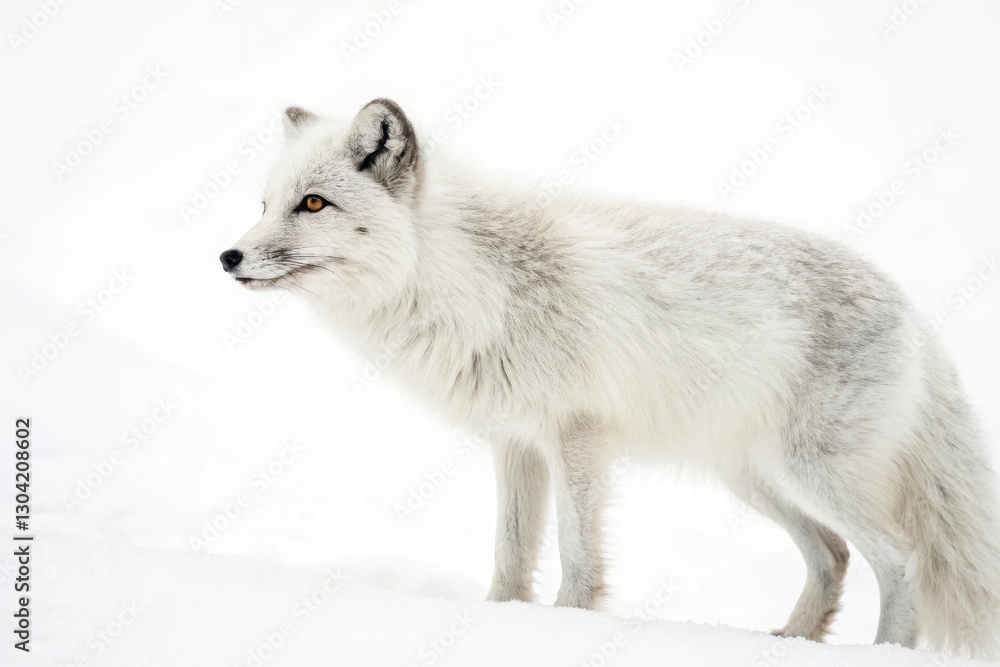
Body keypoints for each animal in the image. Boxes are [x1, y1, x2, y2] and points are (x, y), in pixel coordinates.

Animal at [220, 98, 1000, 658]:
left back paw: (882, 652)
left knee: (903, 561)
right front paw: (501, 625)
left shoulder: (578, 437)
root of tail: (914, 309)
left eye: (313, 204)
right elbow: (510, 554)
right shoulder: (515, 442)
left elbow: (577, 557)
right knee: (833, 557)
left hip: (813, 474)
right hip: (753, 479)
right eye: (264, 204)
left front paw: (567, 629)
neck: (472, 281)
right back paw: (787, 643)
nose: (228, 256)